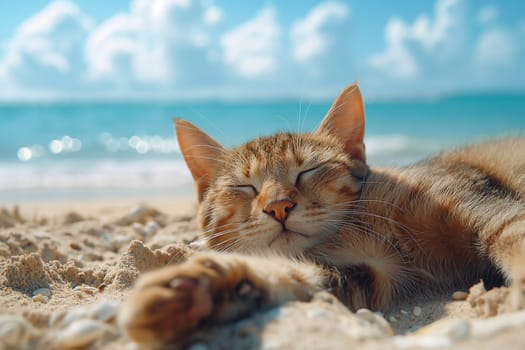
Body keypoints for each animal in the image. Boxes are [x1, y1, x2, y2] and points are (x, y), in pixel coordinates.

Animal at [118, 82, 524, 348]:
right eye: (245, 187)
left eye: (306, 172)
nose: (278, 206)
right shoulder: (365, 272)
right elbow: (289, 274)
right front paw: (199, 291)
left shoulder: (491, 211)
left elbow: (515, 240)